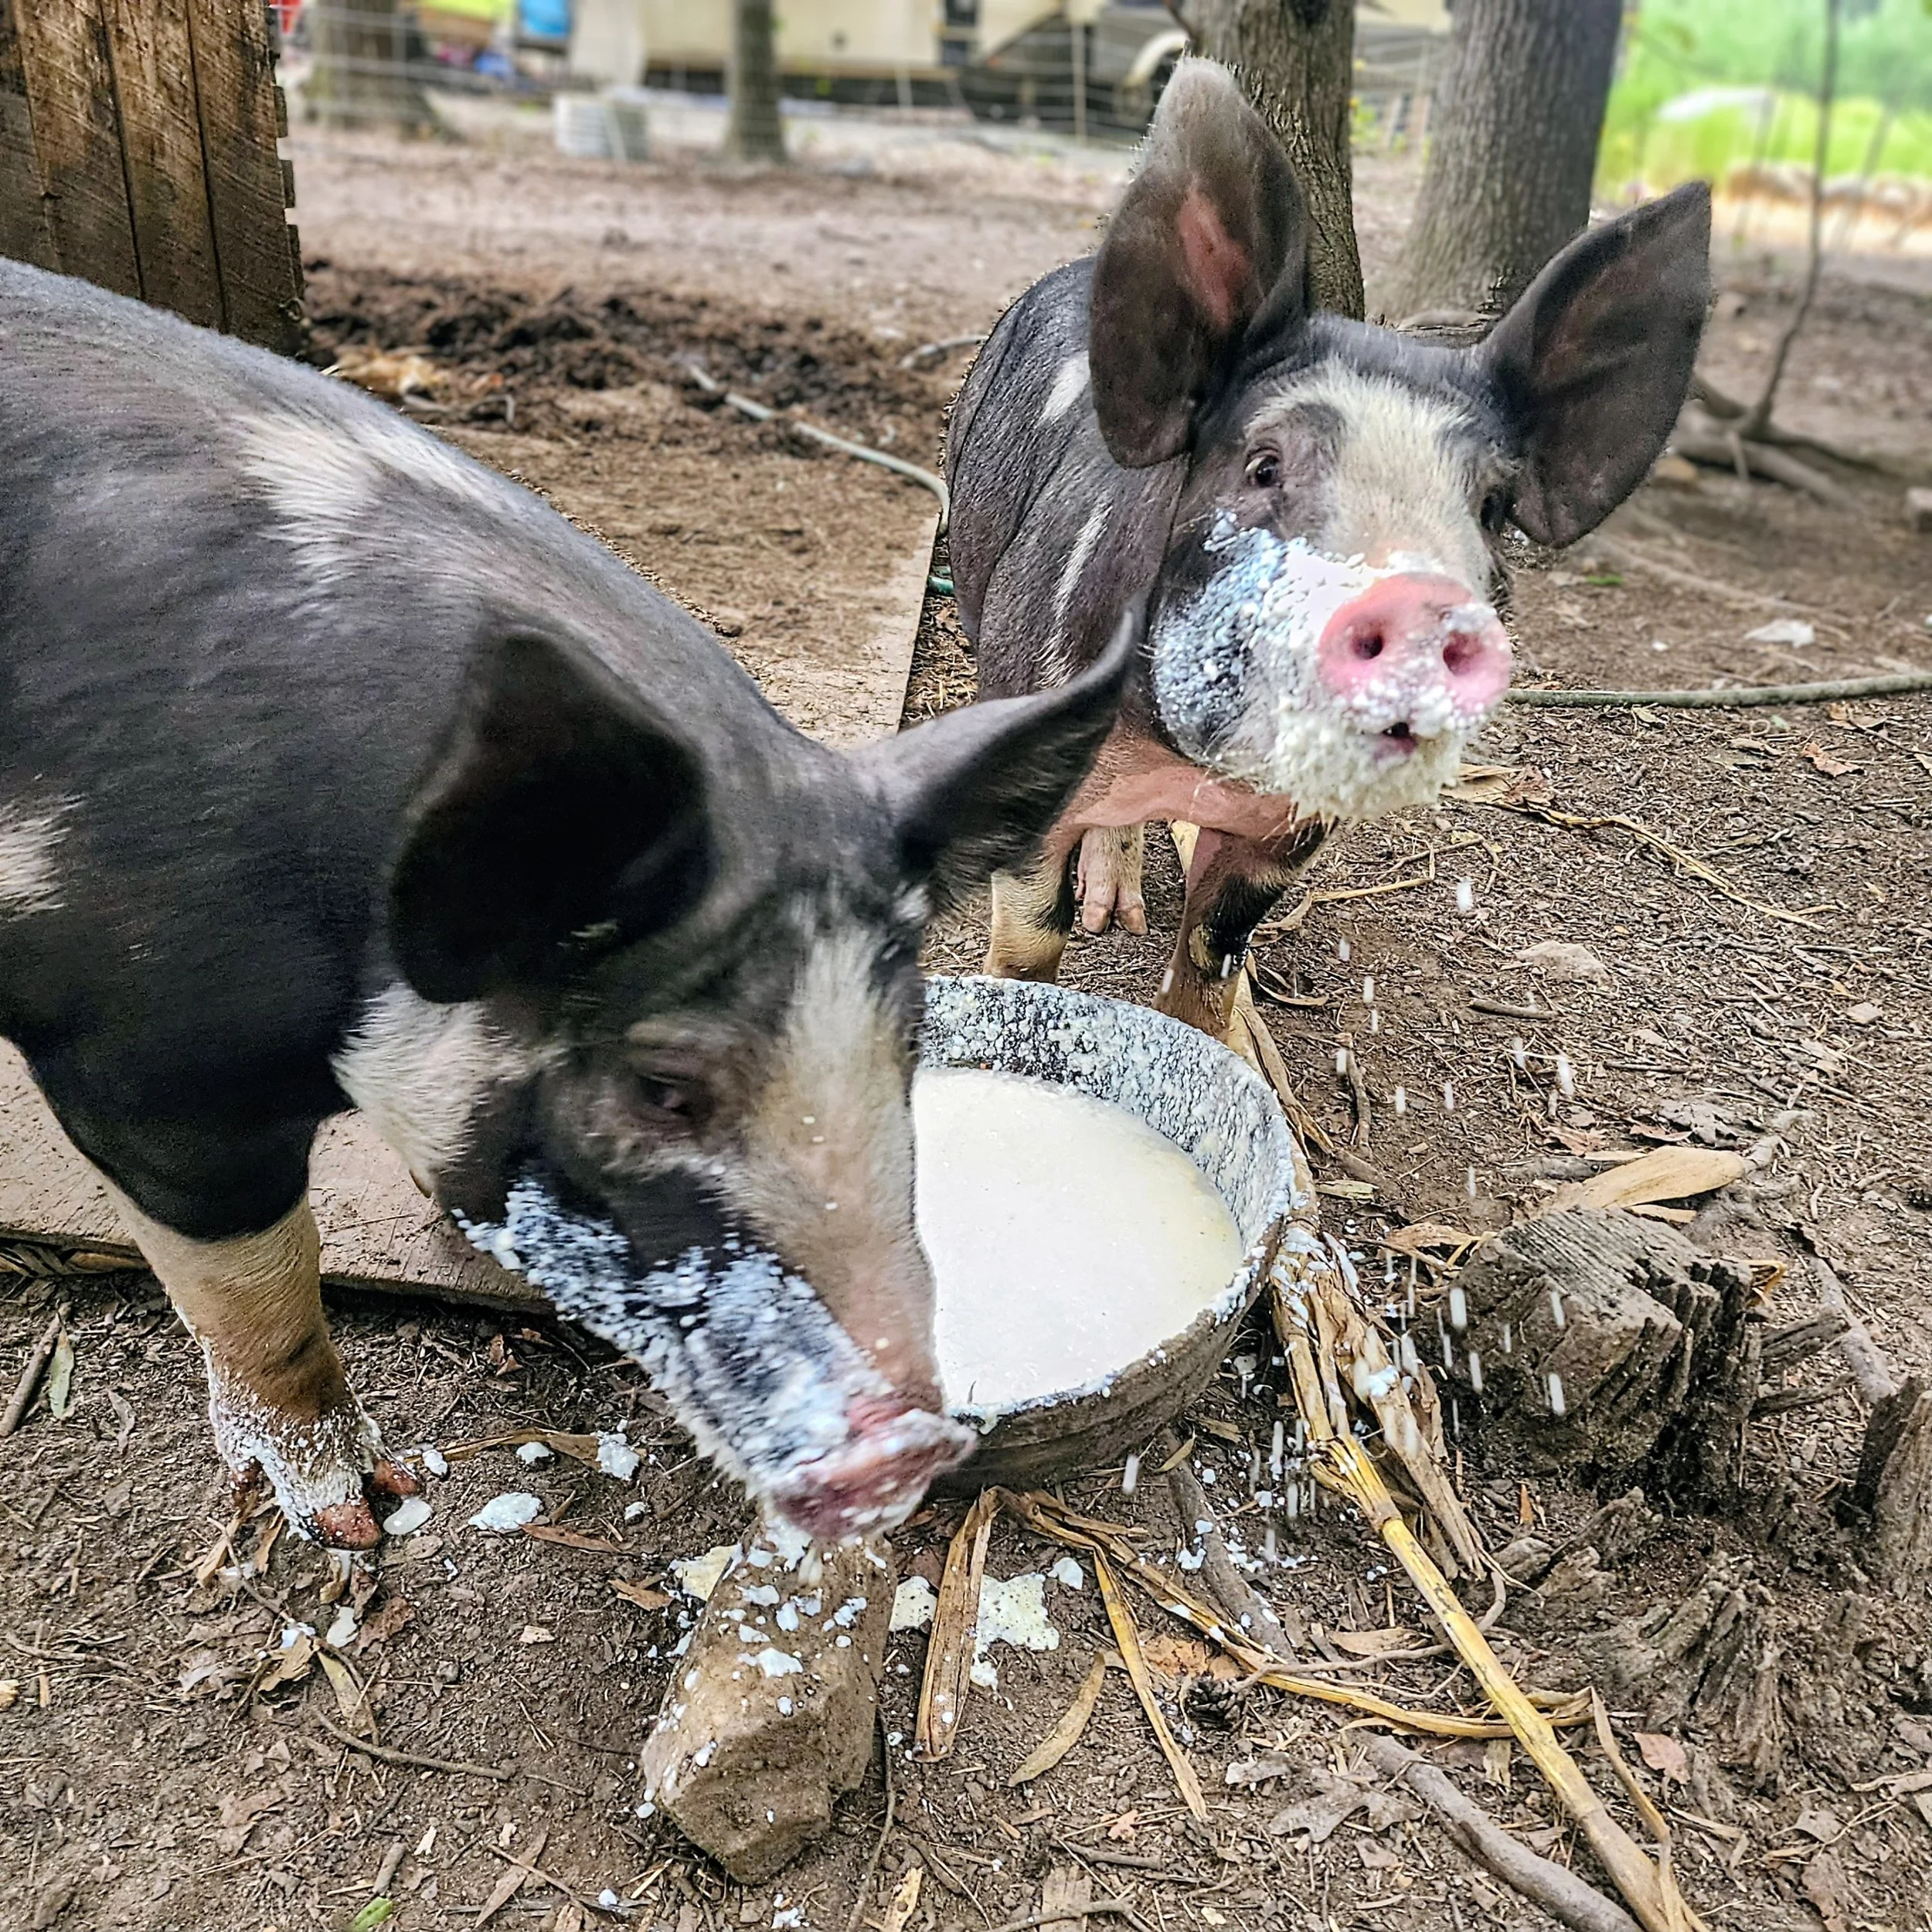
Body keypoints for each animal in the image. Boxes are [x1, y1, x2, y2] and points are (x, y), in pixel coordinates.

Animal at [0, 259, 1133, 1548]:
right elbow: (258, 1291)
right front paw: (357, 1519)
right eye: (662, 1088)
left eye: (910, 1044)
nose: (911, 1444)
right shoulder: (145, 1058)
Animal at [946, 59, 1710, 1038]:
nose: (1418, 599)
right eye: (1264, 465)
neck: (1187, 769)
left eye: (1491, 506)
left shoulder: (1287, 834)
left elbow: (1210, 962)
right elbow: (1027, 945)